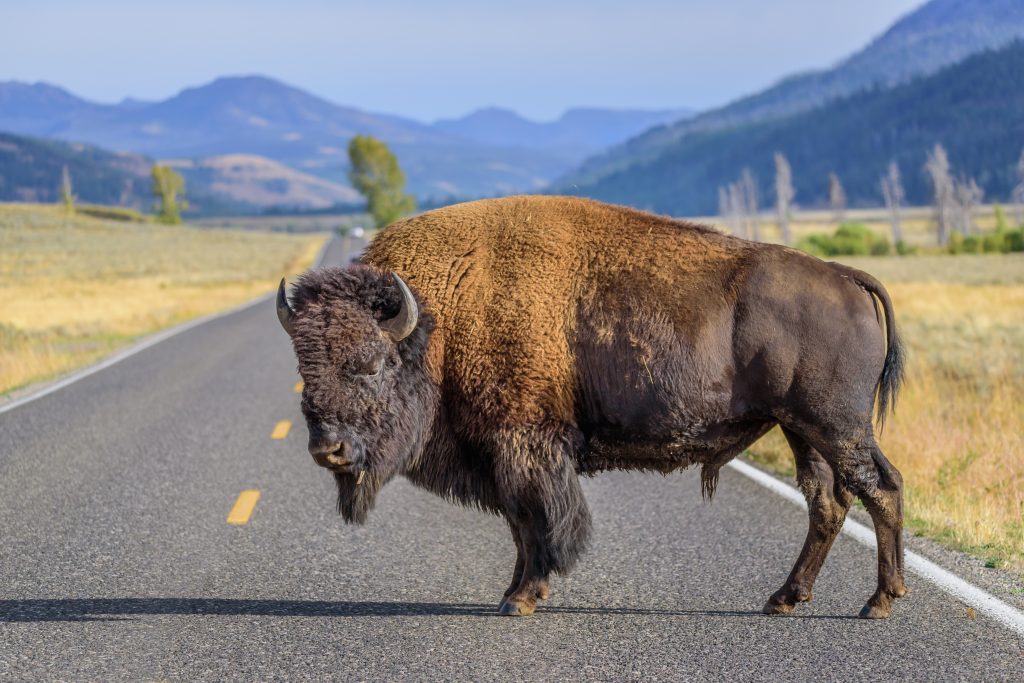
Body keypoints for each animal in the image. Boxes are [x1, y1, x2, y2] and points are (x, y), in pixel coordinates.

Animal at [276, 196, 906, 618]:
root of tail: (844, 276)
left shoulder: (524, 444)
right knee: (828, 501)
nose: (328, 449)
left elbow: (538, 519)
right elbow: (520, 524)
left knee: (878, 488)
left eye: (372, 364)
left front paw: (522, 598)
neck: (441, 315)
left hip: (835, 426)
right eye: (305, 369)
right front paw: (515, 592)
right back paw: (785, 598)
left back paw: (879, 602)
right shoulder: (504, 453)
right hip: (803, 430)